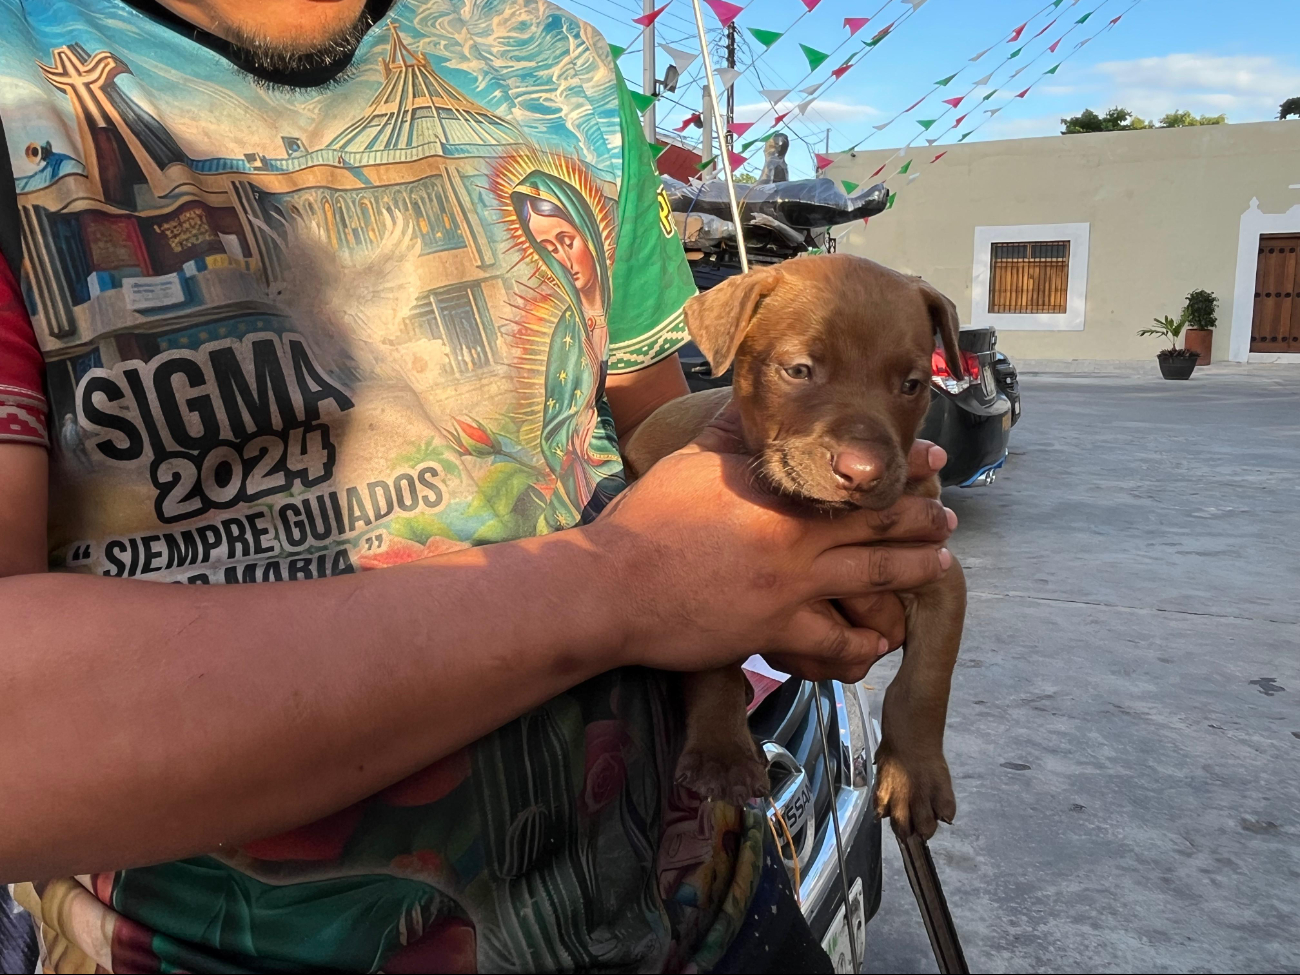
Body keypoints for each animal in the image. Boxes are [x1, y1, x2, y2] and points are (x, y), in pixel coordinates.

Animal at [624, 252, 972, 842]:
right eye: (799, 371)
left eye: (912, 384)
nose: (862, 471)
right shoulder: (703, 593)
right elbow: (712, 668)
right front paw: (722, 755)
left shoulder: (939, 571)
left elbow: (924, 683)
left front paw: (915, 777)